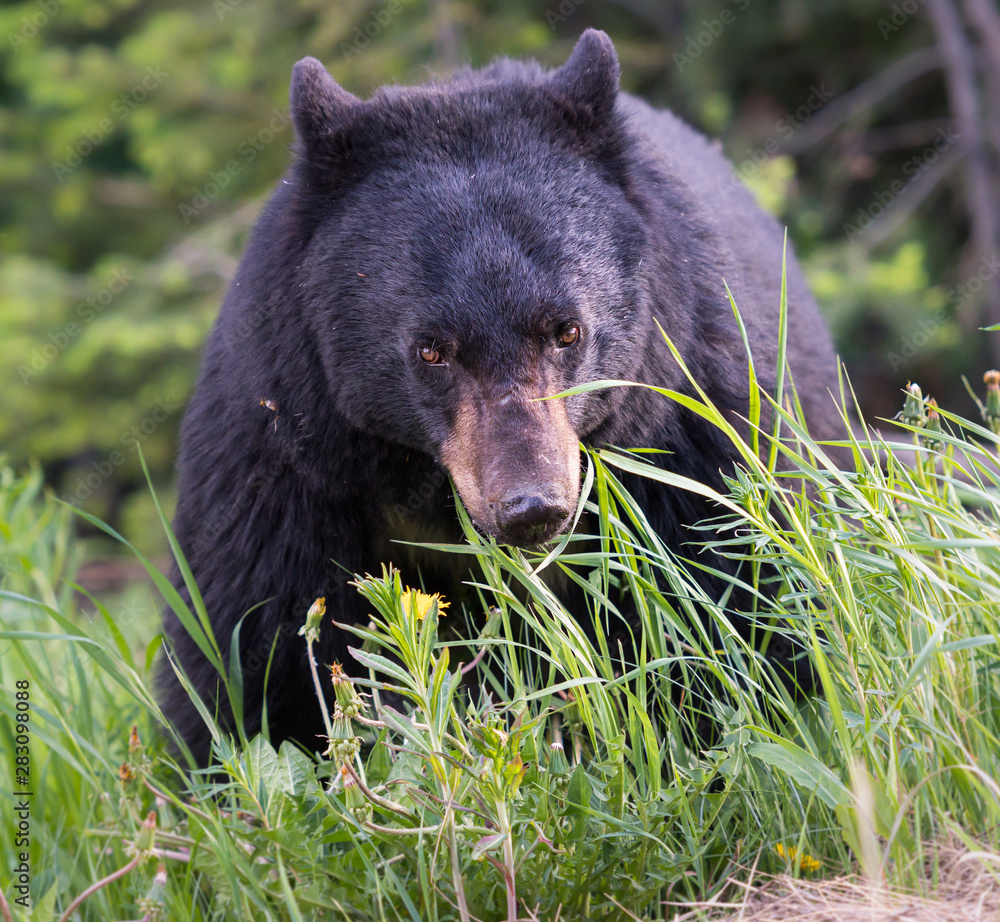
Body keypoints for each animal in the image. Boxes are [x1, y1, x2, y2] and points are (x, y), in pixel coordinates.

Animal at [159, 30, 844, 767]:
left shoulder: (684, 420)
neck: (424, 487)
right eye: (431, 349)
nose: (531, 507)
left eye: (567, 329)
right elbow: (255, 645)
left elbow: (734, 592)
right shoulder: (289, 457)